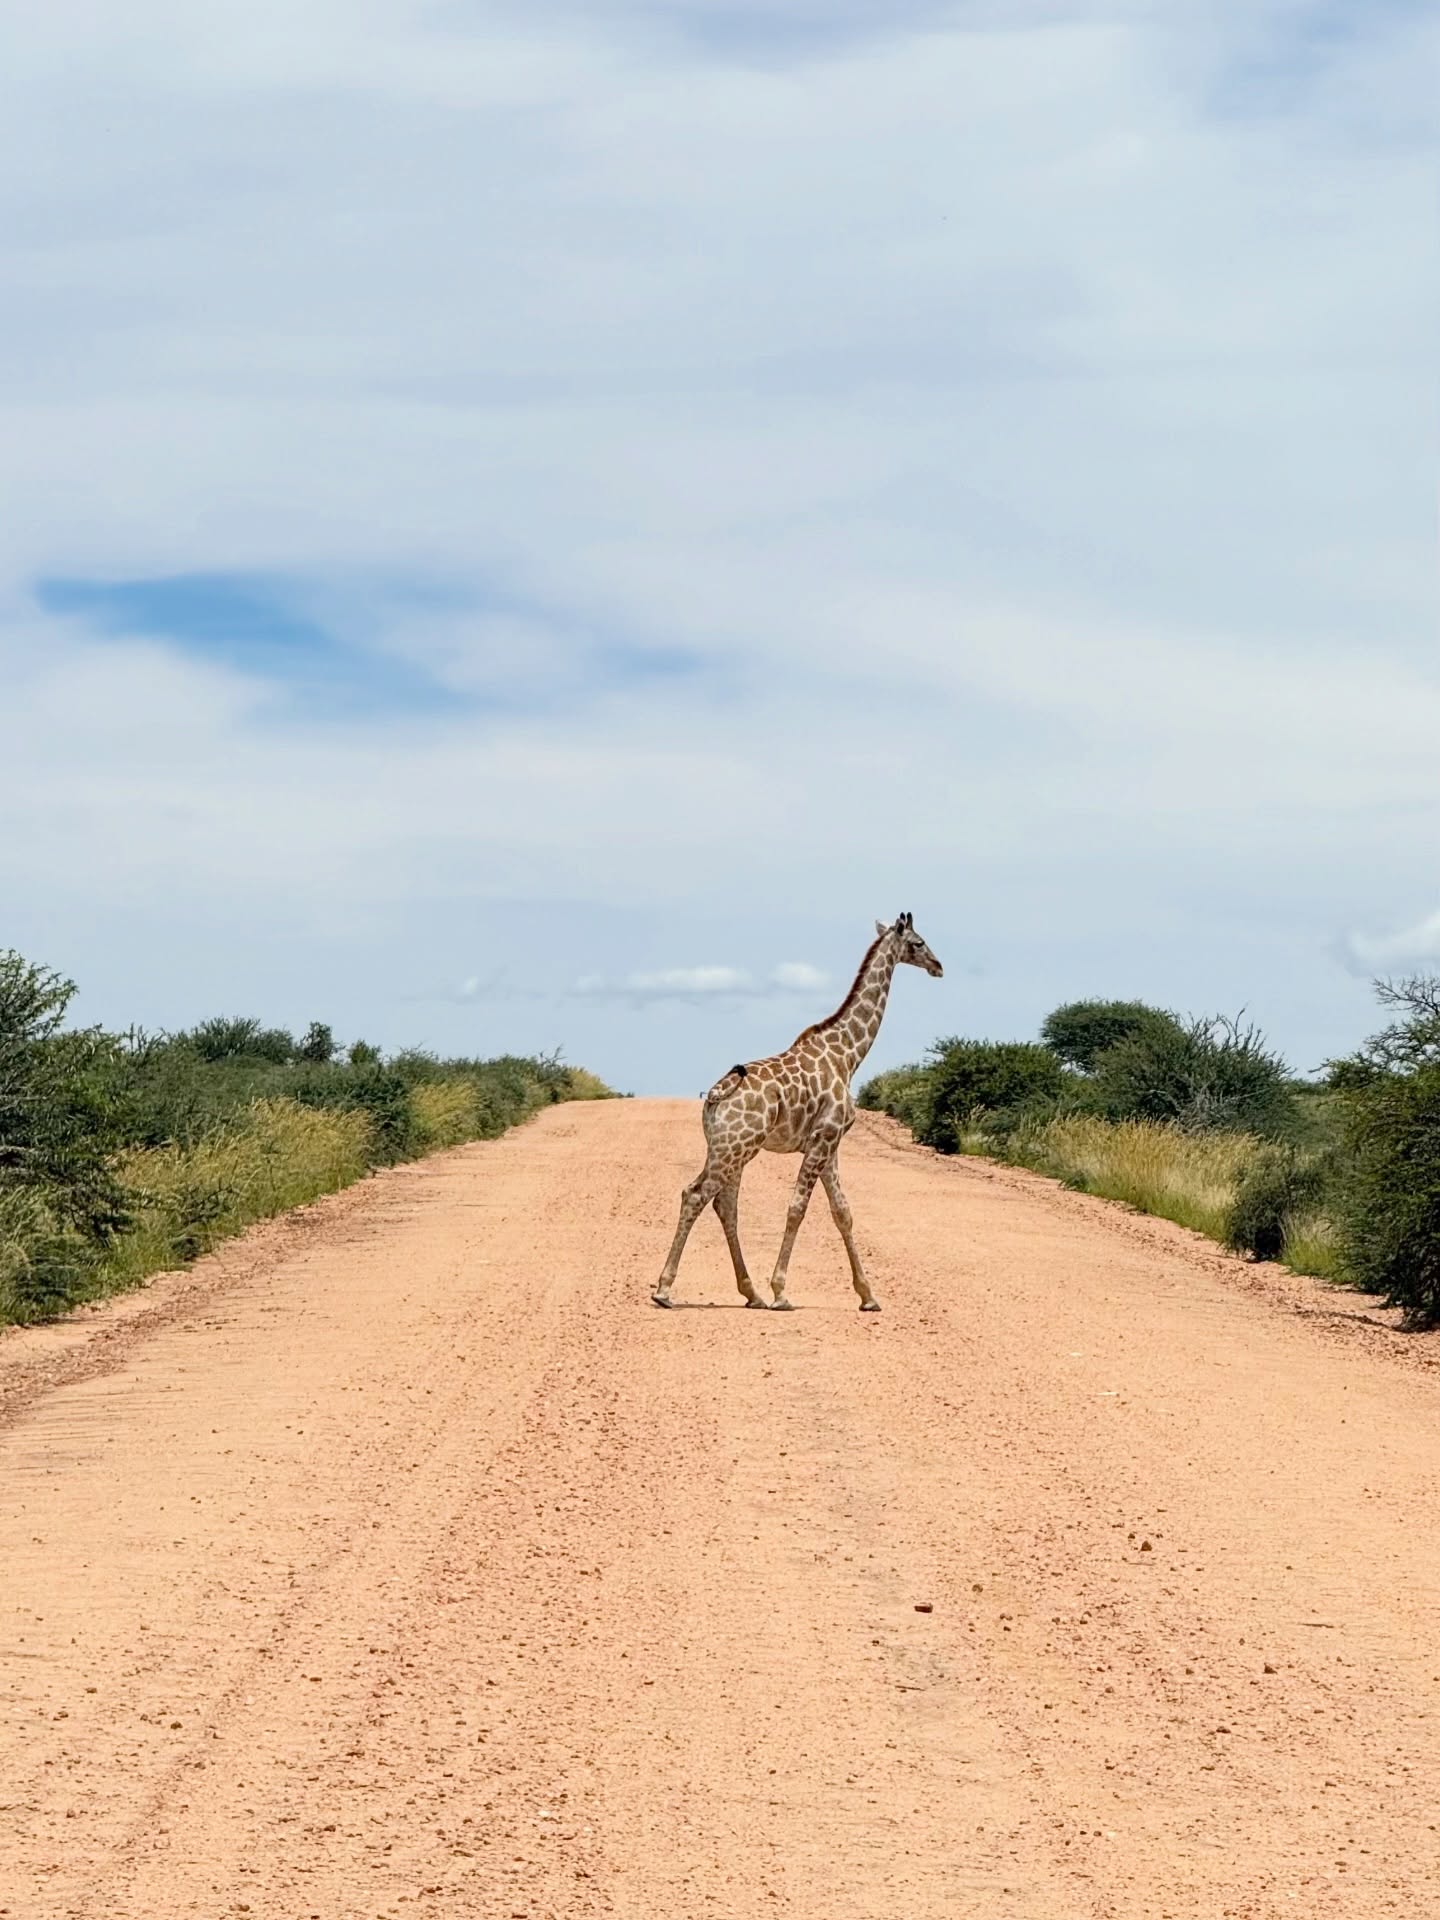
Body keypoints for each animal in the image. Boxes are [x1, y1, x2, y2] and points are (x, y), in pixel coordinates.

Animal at [652, 912, 943, 1313]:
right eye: (918, 942)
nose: (938, 966)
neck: (848, 1055)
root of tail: (714, 1096)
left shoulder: (829, 1145)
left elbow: (843, 1213)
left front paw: (868, 1296)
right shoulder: (824, 1138)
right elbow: (797, 1208)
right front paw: (781, 1292)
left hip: (728, 1149)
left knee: (725, 1205)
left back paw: (751, 1293)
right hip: (734, 1149)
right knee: (695, 1195)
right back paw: (665, 1290)